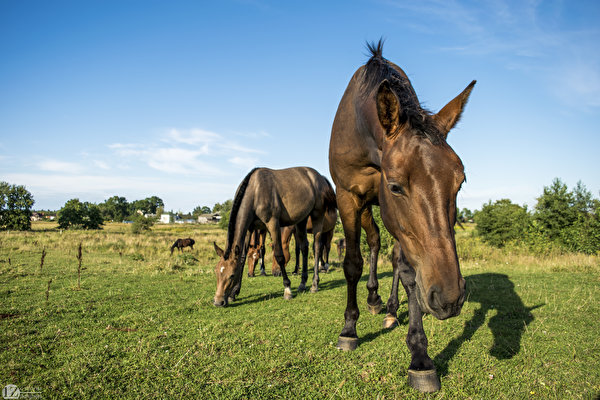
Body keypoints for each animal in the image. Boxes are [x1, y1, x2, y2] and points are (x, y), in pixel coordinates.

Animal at [213, 166, 338, 306]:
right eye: (216, 272)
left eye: (232, 275)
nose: (218, 301)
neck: (255, 191)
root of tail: (320, 177)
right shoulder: (250, 228)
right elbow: (243, 257)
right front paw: (234, 293)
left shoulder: (273, 224)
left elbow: (279, 256)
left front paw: (287, 289)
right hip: (302, 220)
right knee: (304, 247)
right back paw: (302, 283)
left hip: (318, 216)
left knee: (317, 247)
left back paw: (315, 283)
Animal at [328, 39, 474, 390]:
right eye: (395, 186)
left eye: (460, 182)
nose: (450, 297)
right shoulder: (348, 196)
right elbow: (352, 263)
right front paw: (348, 330)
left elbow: (408, 273)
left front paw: (420, 356)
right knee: (374, 242)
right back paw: (373, 300)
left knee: (394, 259)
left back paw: (391, 308)